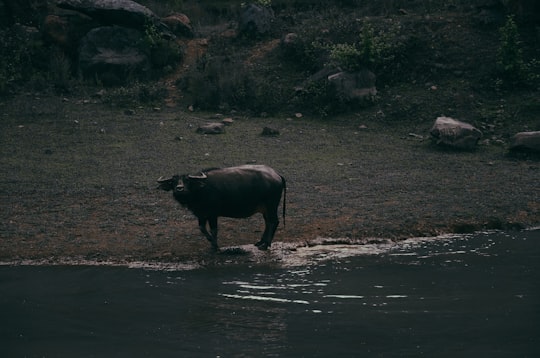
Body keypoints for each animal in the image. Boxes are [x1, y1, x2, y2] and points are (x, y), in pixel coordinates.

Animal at [157, 164, 286, 250]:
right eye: (173, 182)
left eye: (187, 180)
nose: (179, 188)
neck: (201, 190)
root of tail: (277, 175)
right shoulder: (201, 215)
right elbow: (202, 228)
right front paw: (211, 242)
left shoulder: (213, 215)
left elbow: (214, 230)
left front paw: (215, 246)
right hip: (265, 209)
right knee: (268, 222)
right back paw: (261, 242)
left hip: (271, 205)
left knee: (274, 221)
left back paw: (266, 244)